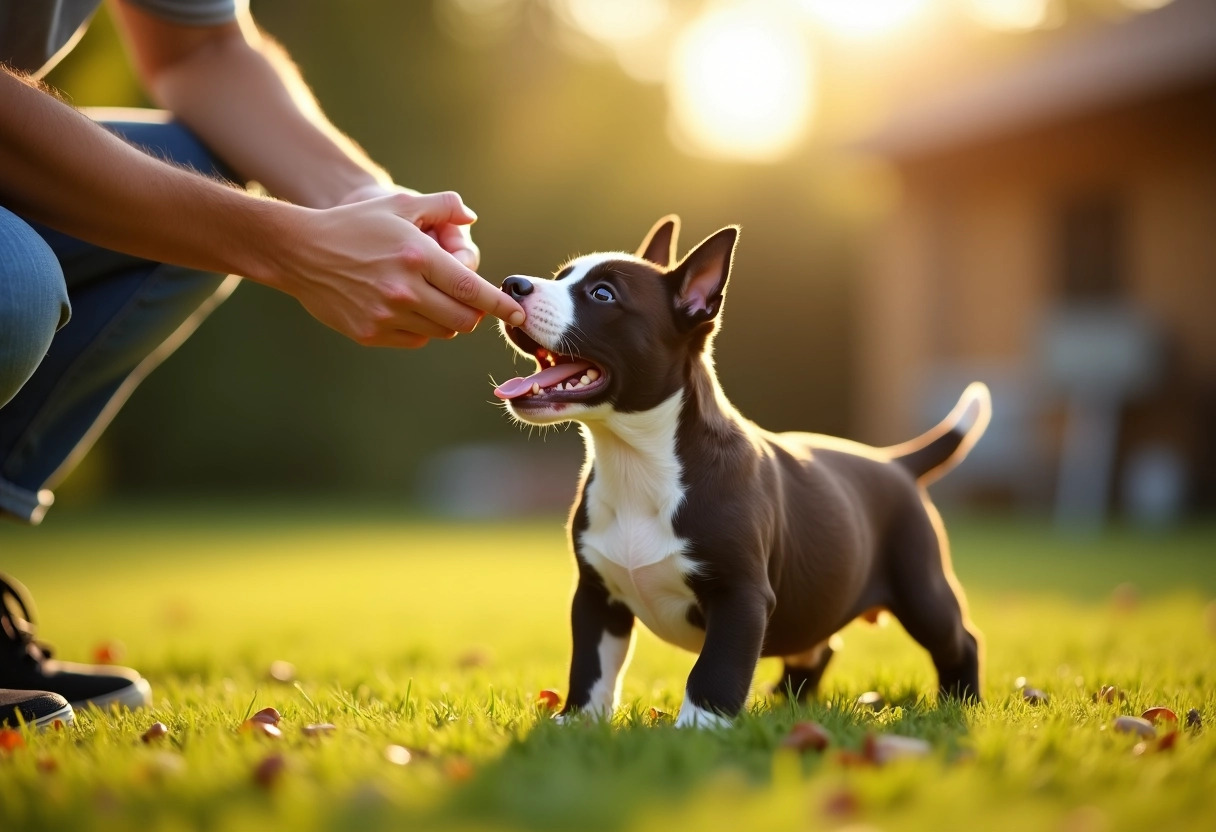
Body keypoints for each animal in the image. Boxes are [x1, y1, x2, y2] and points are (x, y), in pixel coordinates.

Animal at [491, 216, 987, 729]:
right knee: (819, 644)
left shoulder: (741, 596)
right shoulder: (595, 594)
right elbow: (591, 664)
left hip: (921, 587)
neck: (635, 459)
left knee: (959, 640)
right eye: (561, 276)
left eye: (603, 294)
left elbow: (716, 667)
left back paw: (960, 703)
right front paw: (578, 721)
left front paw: (698, 728)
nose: (513, 284)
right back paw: (789, 700)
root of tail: (896, 462)